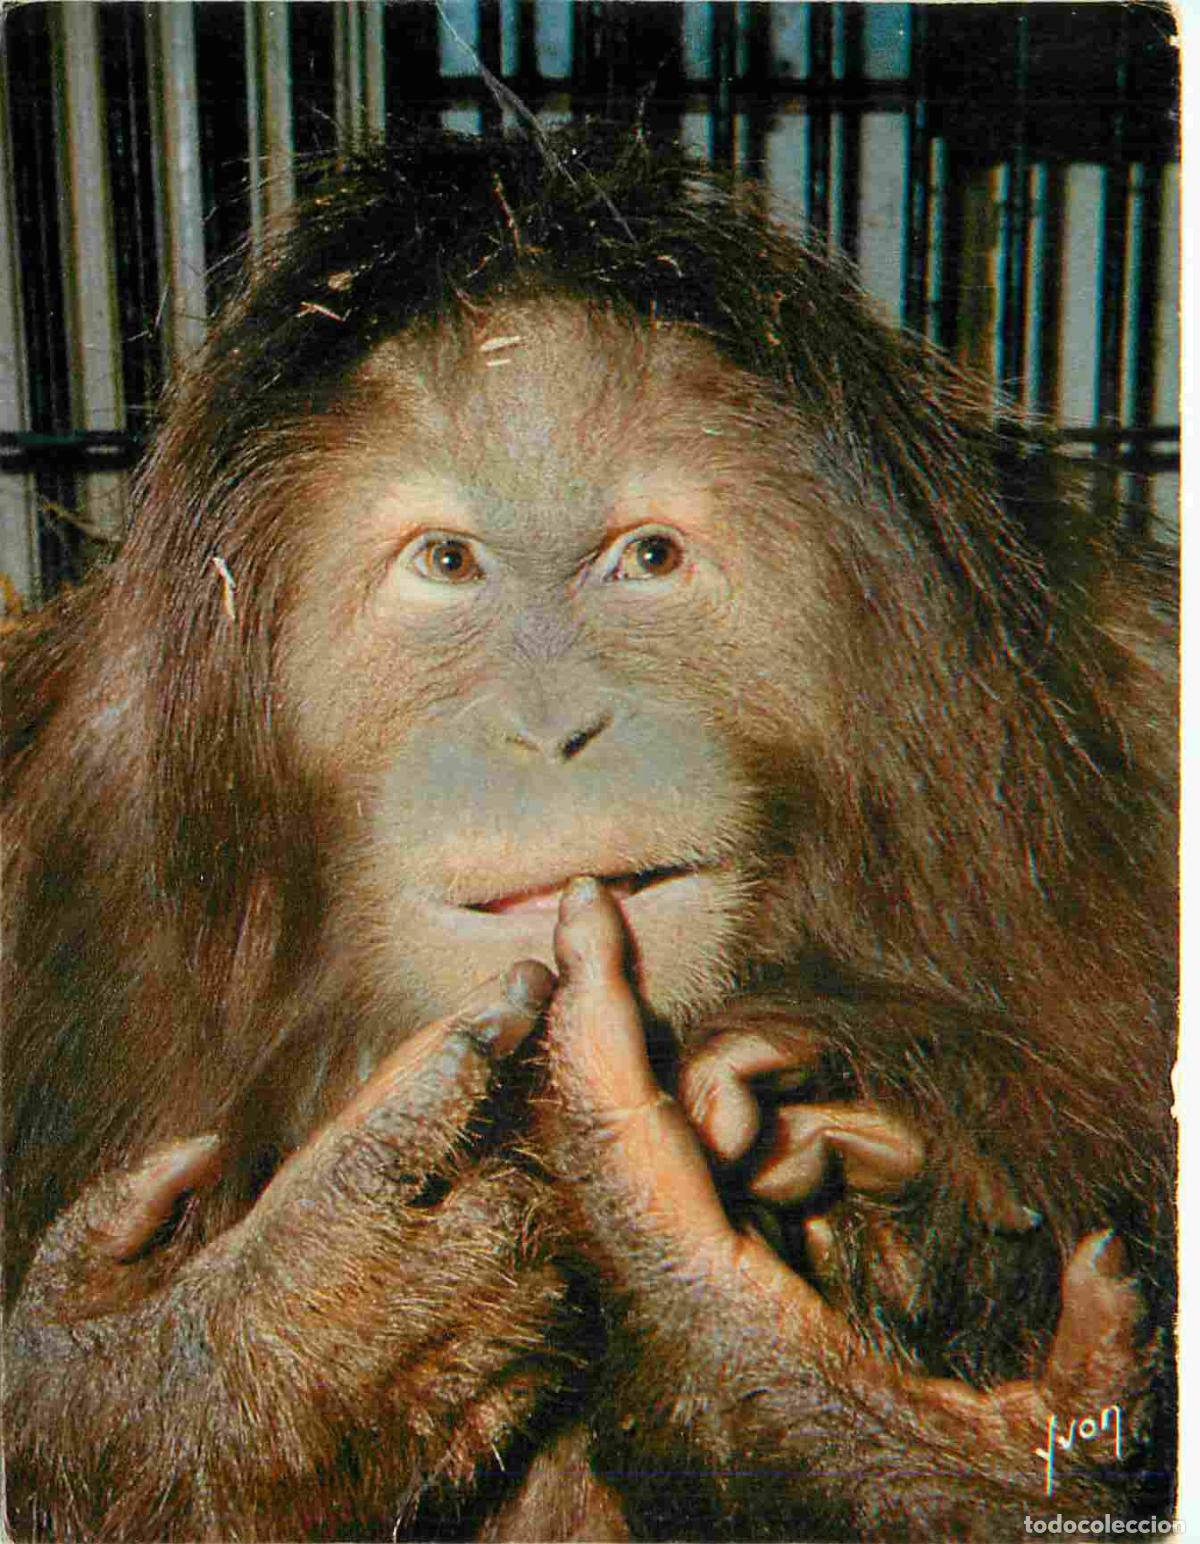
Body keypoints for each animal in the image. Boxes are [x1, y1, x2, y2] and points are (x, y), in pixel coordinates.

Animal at [2, 126, 1175, 1540]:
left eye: (649, 556)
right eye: (447, 563)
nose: (555, 726)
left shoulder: (1131, 686)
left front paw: (767, 1295)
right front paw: (268, 1338)